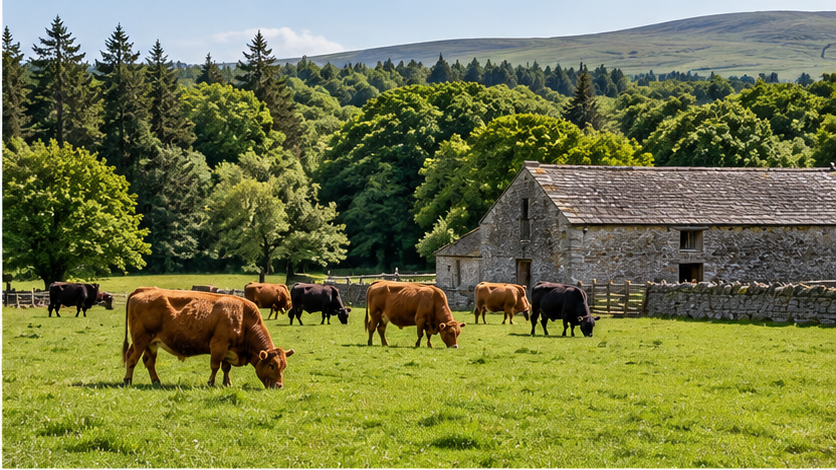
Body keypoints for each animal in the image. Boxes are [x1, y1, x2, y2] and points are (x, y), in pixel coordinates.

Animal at [122, 287, 294, 389]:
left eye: (284, 367)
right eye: (271, 365)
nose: (279, 386)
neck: (243, 319)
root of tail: (144, 289)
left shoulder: (228, 349)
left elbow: (226, 367)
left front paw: (227, 383)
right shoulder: (218, 345)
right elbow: (215, 366)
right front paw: (211, 382)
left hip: (152, 343)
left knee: (149, 362)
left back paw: (156, 381)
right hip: (140, 340)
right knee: (132, 359)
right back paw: (128, 380)